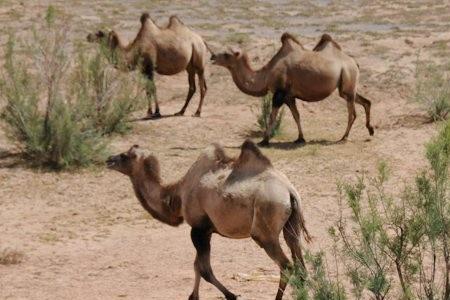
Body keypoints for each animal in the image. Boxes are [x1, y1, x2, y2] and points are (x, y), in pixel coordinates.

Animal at [106, 141, 310, 300]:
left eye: (124, 155)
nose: (108, 159)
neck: (177, 194)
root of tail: (289, 191)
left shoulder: (198, 228)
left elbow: (204, 270)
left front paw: (231, 295)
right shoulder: (207, 231)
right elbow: (197, 265)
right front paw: (193, 296)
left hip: (265, 228)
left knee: (287, 265)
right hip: (291, 225)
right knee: (300, 264)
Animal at [209, 32, 374, 145]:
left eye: (226, 54)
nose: (212, 57)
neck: (267, 74)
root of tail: (354, 62)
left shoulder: (279, 93)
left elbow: (271, 116)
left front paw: (264, 140)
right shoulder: (289, 96)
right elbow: (296, 116)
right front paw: (300, 138)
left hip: (348, 78)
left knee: (352, 113)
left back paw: (344, 137)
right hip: (346, 86)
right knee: (366, 101)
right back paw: (370, 129)